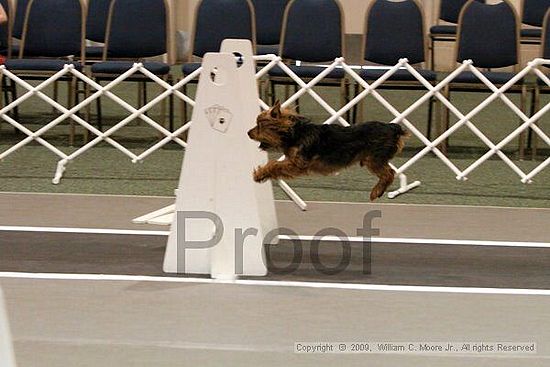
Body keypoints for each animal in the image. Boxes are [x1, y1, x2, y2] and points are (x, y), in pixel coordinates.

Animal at [248, 101, 408, 201]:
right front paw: (262, 174)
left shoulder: (298, 164)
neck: (294, 133)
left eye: (259, 125)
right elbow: (276, 166)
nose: (248, 133)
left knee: (389, 174)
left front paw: (260, 174)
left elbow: (274, 165)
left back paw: (376, 192)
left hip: (374, 158)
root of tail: (393, 127)